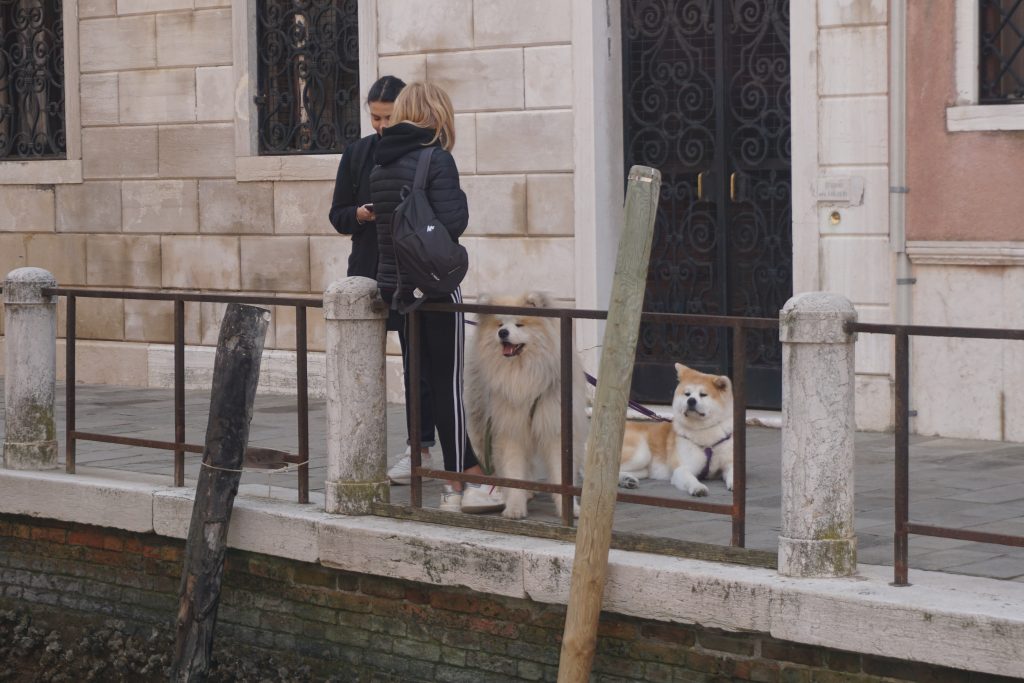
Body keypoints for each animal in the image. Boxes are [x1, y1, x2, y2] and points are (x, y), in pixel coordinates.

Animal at [466, 288, 589, 518]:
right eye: (500, 324)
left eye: (519, 324)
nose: (502, 333)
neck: (523, 372)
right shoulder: (510, 428)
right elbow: (513, 470)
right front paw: (515, 507)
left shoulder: (554, 427)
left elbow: (559, 471)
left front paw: (569, 509)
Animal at [618, 362, 733, 497]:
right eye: (687, 394)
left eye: (703, 394)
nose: (691, 400)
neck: (704, 432)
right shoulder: (682, 468)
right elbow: (690, 479)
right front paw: (698, 487)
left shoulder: (729, 462)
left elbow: (732, 472)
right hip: (641, 454)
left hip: (643, 469)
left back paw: (627, 480)